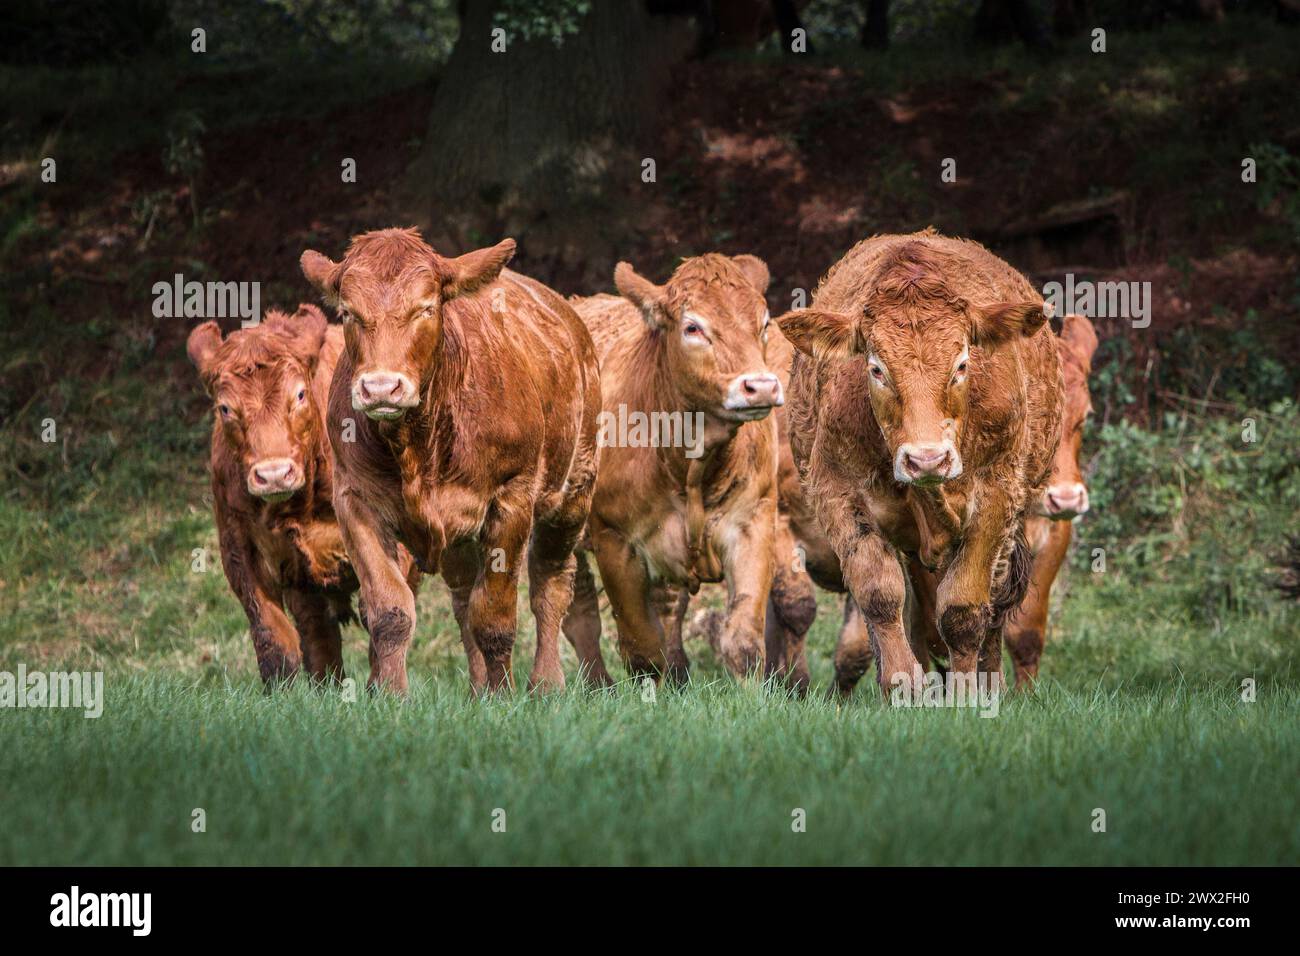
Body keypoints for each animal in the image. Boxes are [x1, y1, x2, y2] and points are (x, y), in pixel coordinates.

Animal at [301, 228, 600, 697]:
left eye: (426, 308)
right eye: (348, 312)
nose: (381, 387)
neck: (417, 447)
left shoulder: (511, 498)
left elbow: (494, 616)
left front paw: (503, 696)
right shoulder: (354, 500)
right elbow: (390, 611)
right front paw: (391, 694)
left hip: (573, 492)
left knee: (550, 584)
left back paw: (545, 682)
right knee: (462, 596)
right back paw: (477, 688)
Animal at [561, 254, 780, 686]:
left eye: (763, 322)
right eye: (692, 327)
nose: (761, 386)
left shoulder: (754, 521)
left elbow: (743, 642)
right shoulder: (615, 540)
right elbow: (643, 649)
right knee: (577, 613)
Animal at [774, 231, 1060, 697]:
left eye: (961, 364)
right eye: (876, 368)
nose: (927, 459)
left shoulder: (997, 496)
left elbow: (964, 609)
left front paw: (967, 695)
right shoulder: (837, 491)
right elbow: (879, 595)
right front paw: (902, 685)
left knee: (995, 600)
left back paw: (991, 681)